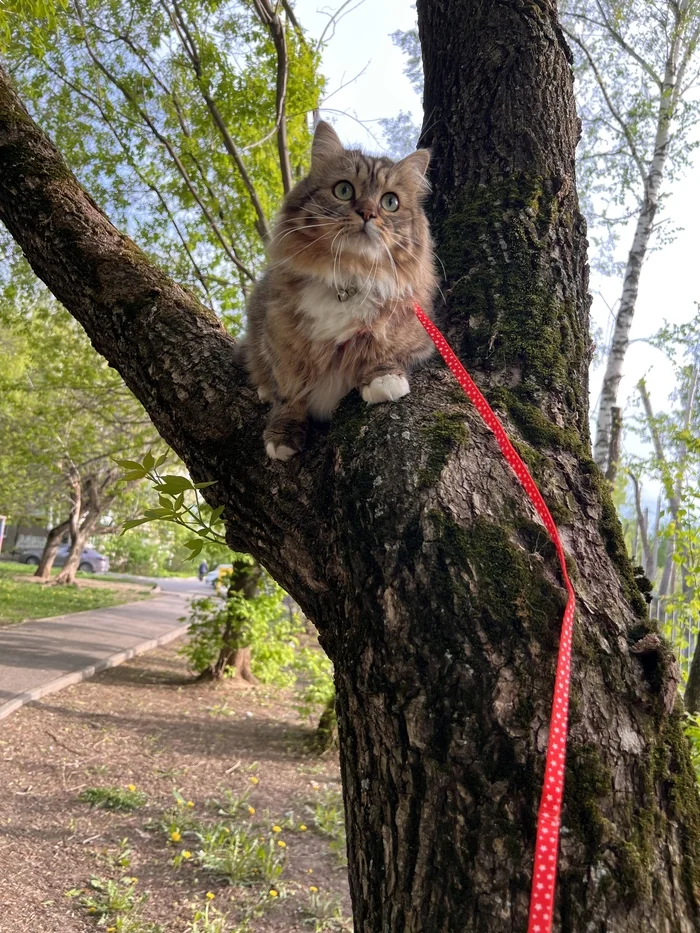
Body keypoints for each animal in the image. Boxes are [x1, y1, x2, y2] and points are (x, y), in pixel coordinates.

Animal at [243, 118, 434, 460]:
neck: (349, 278)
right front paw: (282, 432)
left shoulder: (417, 334)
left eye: (390, 202)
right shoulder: (278, 337)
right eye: (344, 190)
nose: (368, 213)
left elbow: (386, 349)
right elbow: (288, 389)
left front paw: (383, 379)